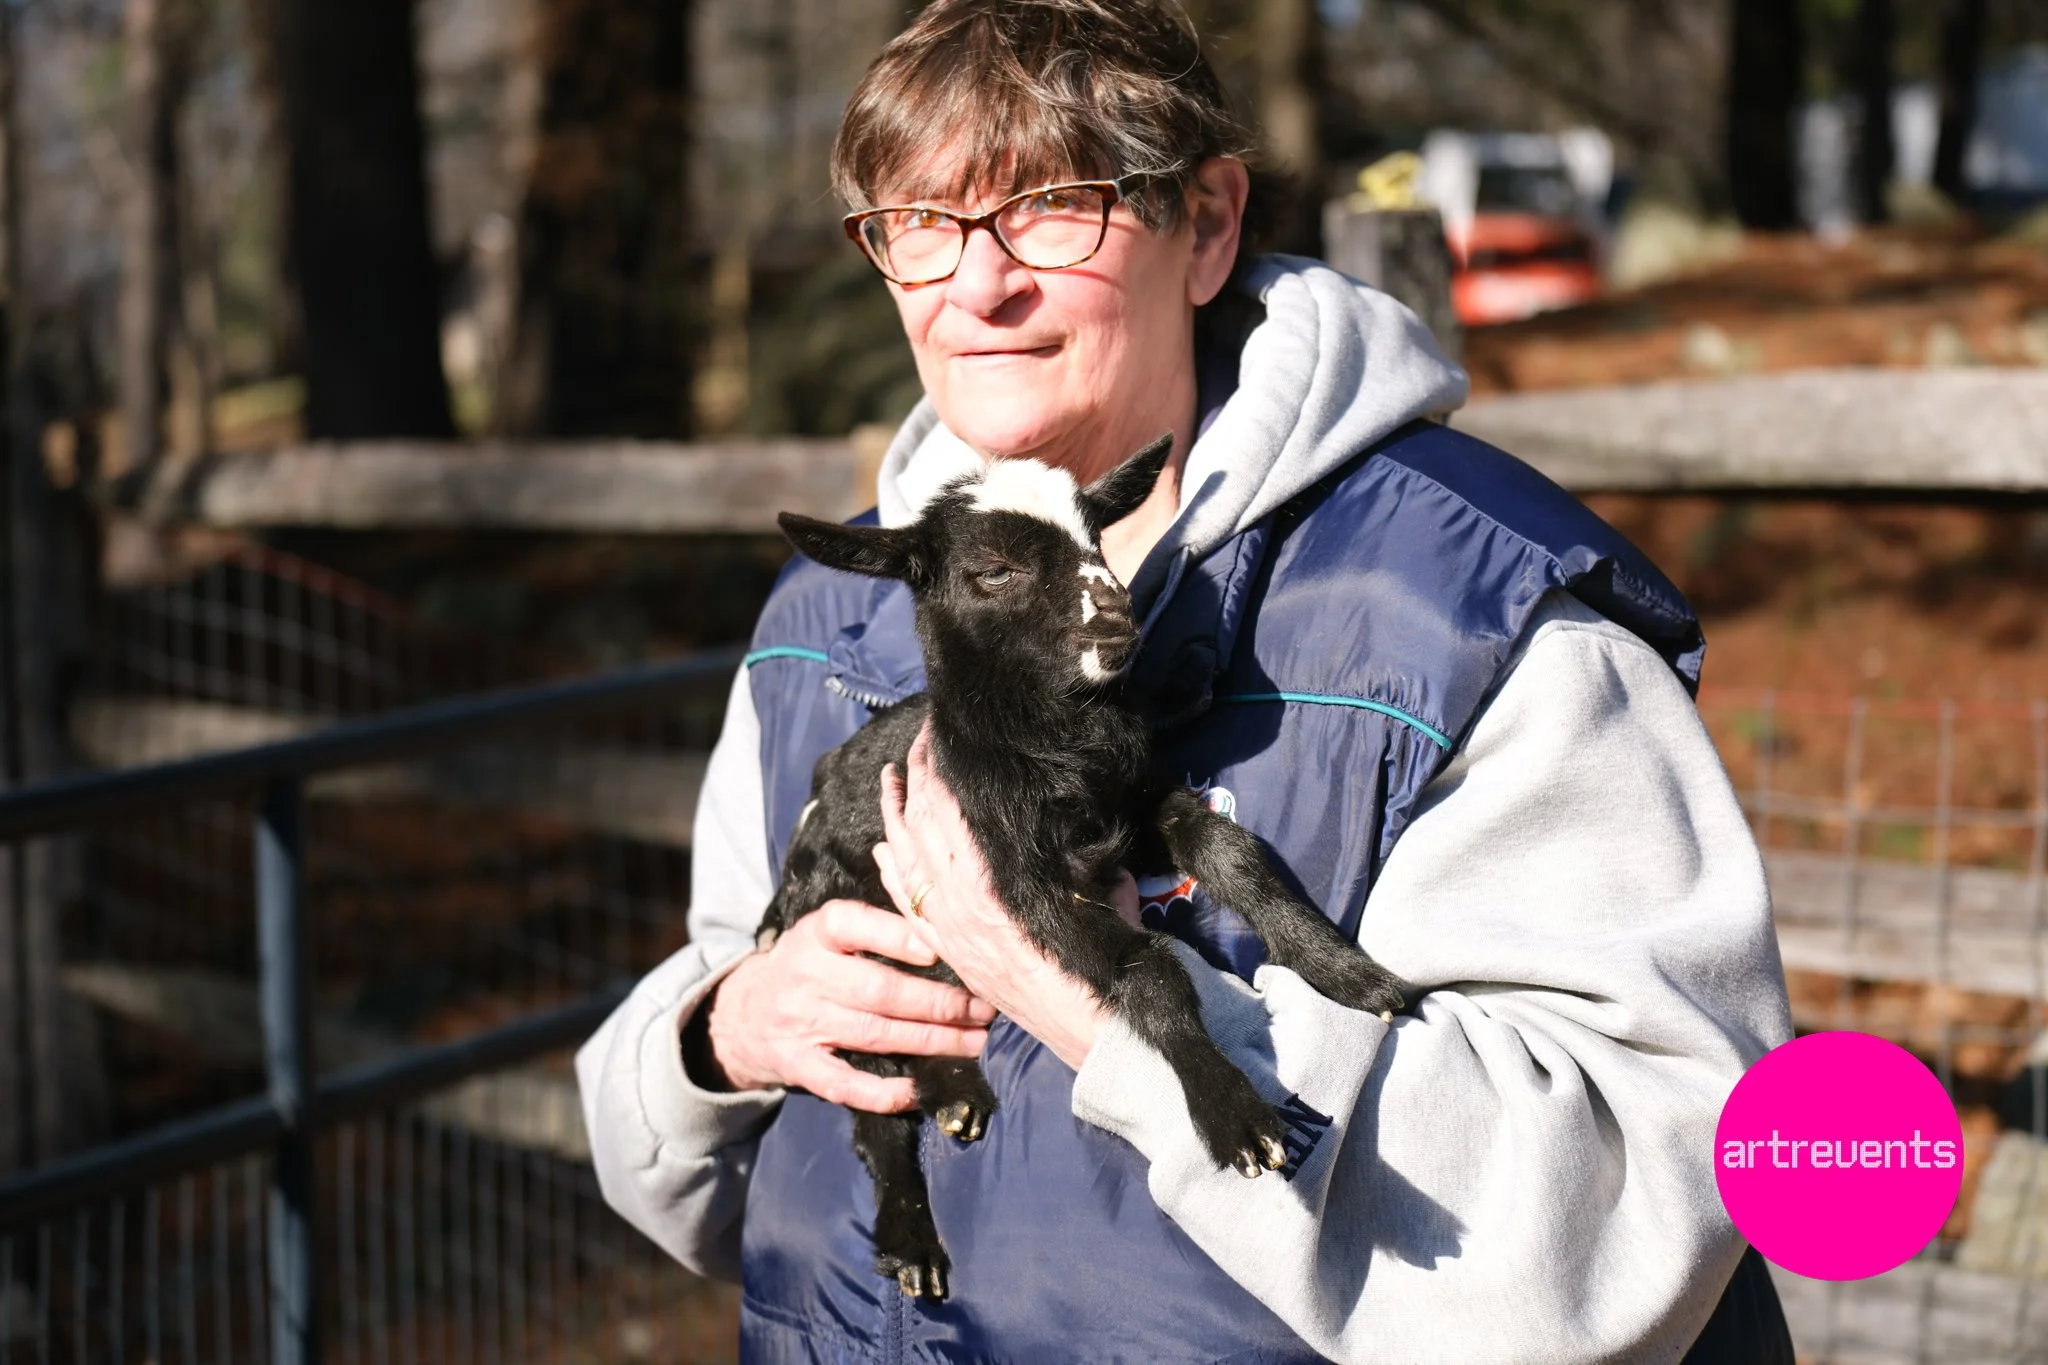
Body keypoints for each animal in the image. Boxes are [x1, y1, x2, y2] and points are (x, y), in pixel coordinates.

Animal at [763, 435, 1408, 1300]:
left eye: (1095, 535)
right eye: (994, 569)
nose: (1116, 616)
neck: (1058, 750)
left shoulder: (1135, 811)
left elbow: (1231, 852)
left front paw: (1349, 974)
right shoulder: (1019, 877)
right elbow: (1150, 967)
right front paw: (1233, 1117)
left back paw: (958, 1098)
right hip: (840, 949)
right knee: (872, 1110)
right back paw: (912, 1241)